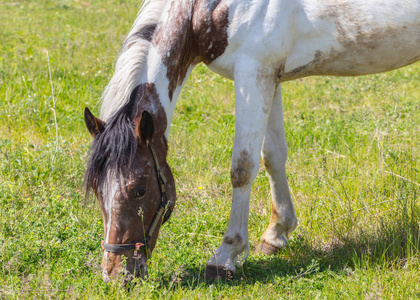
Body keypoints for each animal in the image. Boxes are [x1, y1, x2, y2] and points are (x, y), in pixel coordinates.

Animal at [84, 0, 420, 282]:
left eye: (139, 189)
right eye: (98, 191)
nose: (115, 274)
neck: (209, 9)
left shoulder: (253, 73)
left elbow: (242, 168)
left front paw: (225, 256)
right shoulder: (270, 77)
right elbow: (273, 156)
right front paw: (276, 234)